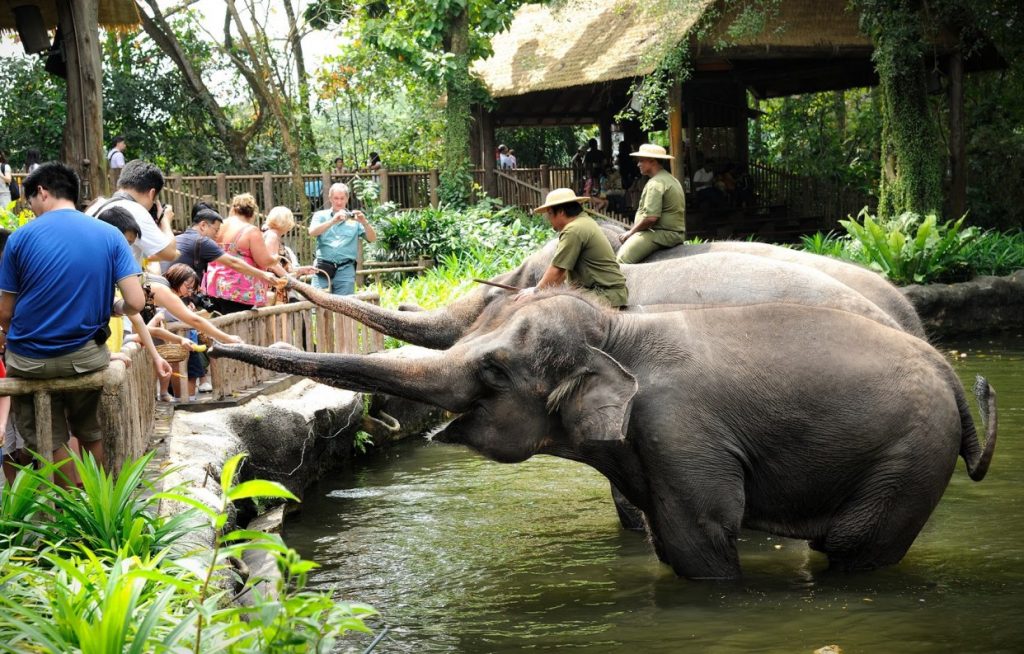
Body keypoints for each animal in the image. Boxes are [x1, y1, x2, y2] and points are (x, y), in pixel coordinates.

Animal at [209, 288, 999, 581]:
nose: (206, 342)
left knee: (855, 551)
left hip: (909, 458)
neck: (618, 330)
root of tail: (954, 374)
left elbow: (698, 543)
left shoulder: (680, 432)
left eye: (494, 370)